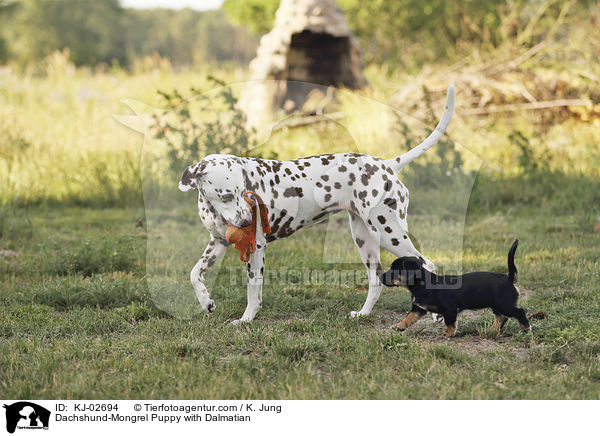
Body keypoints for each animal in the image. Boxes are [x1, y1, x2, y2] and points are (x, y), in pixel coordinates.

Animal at [178, 84, 454, 324]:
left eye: (245, 192)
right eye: (226, 196)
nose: (248, 221)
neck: (214, 210)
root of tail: (387, 164)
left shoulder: (256, 248)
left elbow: (253, 293)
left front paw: (246, 320)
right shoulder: (218, 243)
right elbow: (194, 275)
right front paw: (206, 302)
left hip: (390, 235)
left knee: (427, 264)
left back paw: (436, 314)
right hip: (364, 240)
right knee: (375, 281)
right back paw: (363, 313)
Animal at [380, 238, 528, 338]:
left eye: (394, 270)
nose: (380, 277)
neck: (421, 285)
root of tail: (509, 278)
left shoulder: (449, 308)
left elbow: (450, 322)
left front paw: (448, 334)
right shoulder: (418, 309)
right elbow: (408, 318)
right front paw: (398, 326)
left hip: (504, 304)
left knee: (519, 312)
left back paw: (526, 328)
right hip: (496, 305)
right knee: (501, 318)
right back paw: (491, 331)